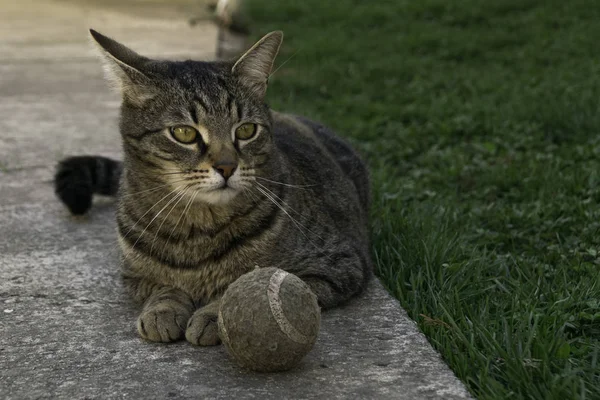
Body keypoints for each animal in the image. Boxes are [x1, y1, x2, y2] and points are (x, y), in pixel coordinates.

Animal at [57, 29, 376, 346]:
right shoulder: (132, 277)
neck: (197, 229)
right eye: (184, 133)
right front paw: (163, 310)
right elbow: (164, 287)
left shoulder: (337, 265)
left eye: (246, 130)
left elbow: (247, 288)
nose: (226, 167)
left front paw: (214, 315)